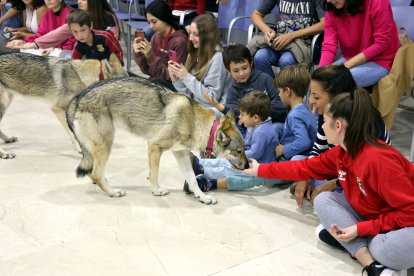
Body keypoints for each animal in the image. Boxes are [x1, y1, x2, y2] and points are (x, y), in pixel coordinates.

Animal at [66, 76, 247, 204]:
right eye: (238, 151)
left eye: (244, 149)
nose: (248, 165)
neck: (195, 122)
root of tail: (78, 98)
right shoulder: (154, 146)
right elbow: (155, 174)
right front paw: (156, 191)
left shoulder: (181, 154)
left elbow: (192, 180)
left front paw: (203, 197)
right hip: (106, 145)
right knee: (96, 174)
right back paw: (113, 192)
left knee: (94, 173)